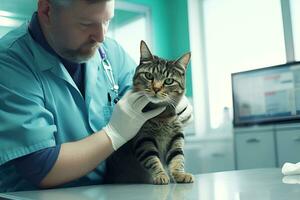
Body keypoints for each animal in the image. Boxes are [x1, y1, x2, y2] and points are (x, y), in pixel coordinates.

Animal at [104, 40, 193, 184]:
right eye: (149, 75)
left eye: (169, 81)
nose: (156, 88)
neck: (162, 116)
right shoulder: (144, 139)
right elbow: (152, 159)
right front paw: (160, 175)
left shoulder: (176, 136)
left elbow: (177, 157)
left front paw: (180, 174)